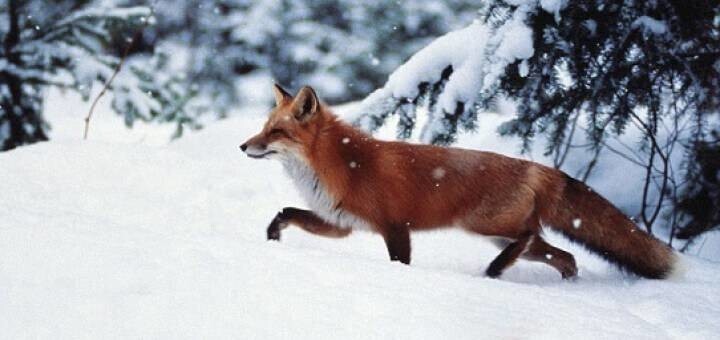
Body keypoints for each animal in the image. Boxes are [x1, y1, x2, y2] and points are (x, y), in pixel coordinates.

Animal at [242, 84, 680, 278]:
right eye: (263, 127)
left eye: (276, 132)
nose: (244, 146)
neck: (344, 163)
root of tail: (537, 167)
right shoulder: (341, 224)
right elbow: (286, 212)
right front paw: (271, 238)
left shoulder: (395, 227)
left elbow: (400, 263)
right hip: (502, 235)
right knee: (565, 256)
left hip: (484, 225)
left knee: (530, 238)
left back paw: (495, 271)